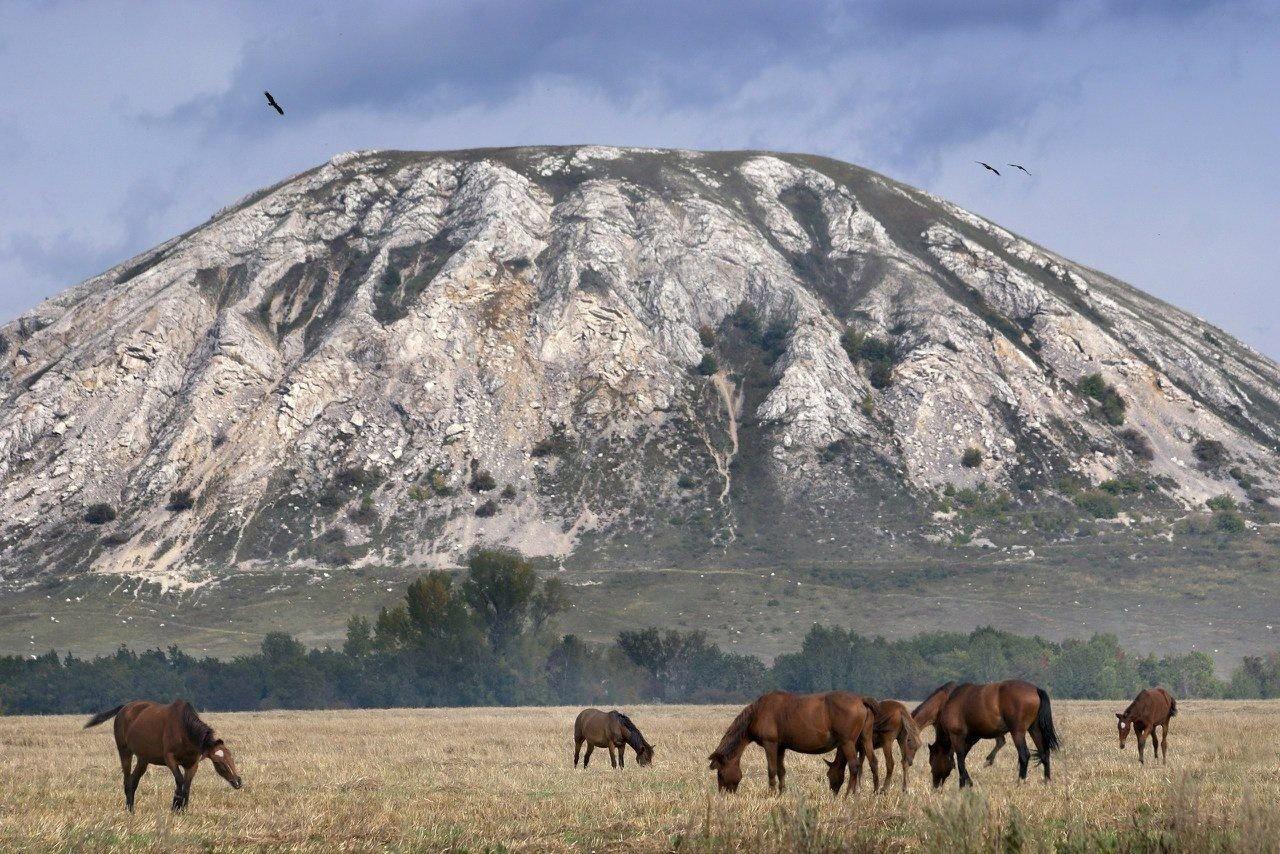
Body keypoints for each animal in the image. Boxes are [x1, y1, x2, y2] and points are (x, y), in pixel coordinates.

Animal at [84, 696, 241, 814]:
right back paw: (129, 809)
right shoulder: (170, 759)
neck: (184, 730)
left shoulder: (192, 764)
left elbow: (187, 785)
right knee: (127, 780)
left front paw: (183, 809)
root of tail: (124, 708)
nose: (238, 781)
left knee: (134, 780)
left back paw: (132, 808)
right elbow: (179, 781)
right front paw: (176, 806)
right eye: (218, 762)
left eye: (231, 757)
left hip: (143, 759)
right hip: (125, 752)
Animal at [711, 686, 880, 793]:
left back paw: (848, 794)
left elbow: (772, 770)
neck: (758, 712)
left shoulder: (770, 744)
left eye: (720, 774)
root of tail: (861, 700)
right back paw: (875, 791)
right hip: (865, 740)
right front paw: (781, 793)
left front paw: (770, 793)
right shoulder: (780, 747)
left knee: (854, 766)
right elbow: (781, 771)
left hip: (848, 743)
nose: (723, 794)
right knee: (873, 762)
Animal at [921, 676, 1059, 793]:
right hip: (1034, 729)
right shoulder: (972, 737)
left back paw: (1020, 783)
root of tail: (1036, 690)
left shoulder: (957, 736)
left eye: (932, 761)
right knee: (1044, 753)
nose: (935, 786)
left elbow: (960, 760)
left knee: (1024, 755)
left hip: (1017, 732)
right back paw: (1047, 782)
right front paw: (969, 782)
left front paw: (962, 786)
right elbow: (963, 758)